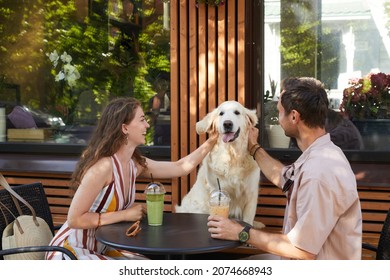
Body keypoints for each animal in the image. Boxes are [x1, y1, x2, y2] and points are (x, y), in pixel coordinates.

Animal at [175, 100, 264, 228]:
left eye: (237, 112)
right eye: (221, 113)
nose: (227, 124)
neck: (233, 155)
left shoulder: (250, 194)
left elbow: (248, 220)